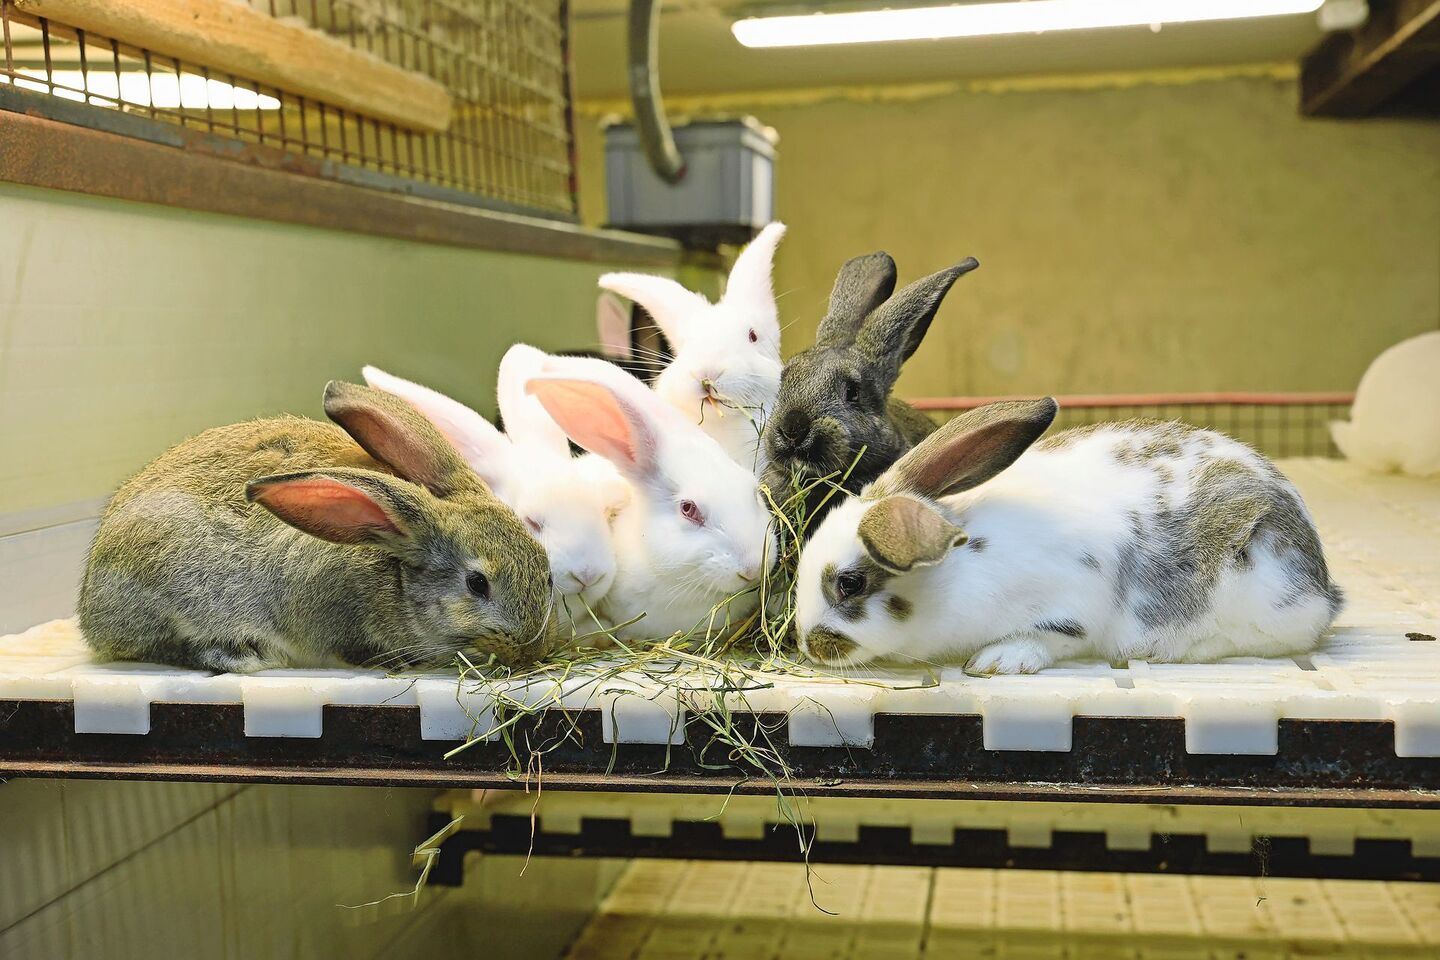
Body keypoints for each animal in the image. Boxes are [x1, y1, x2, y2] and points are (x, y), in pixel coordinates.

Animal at [78, 381, 555, 674]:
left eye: (548, 574)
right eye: (477, 584)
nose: (528, 650)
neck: (396, 570)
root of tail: (89, 607)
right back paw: (243, 656)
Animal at [794, 399, 1344, 673]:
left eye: (849, 584)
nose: (808, 645)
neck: (958, 566)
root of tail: (1323, 582)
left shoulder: (1073, 603)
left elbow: (1047, 638)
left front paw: (998, 660)